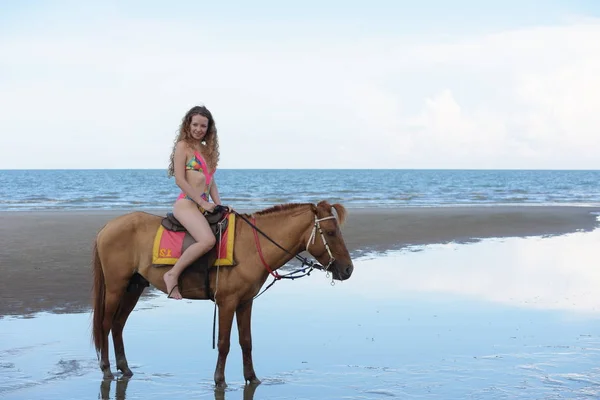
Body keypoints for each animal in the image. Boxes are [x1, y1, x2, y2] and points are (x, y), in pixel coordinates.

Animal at [89, 202, 352, 386]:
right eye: (330, 232)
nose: (348, 269)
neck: (250, 246)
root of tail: (107, 228)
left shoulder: (245, 302)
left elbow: (246, 341)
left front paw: (252, 378)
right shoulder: (227, 302)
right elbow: (224, 343)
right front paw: (220, 380)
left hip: (133, 287)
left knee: (118, 325)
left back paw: (125, 368)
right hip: (116, 288)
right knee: (105, 324)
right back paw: (106, 369)